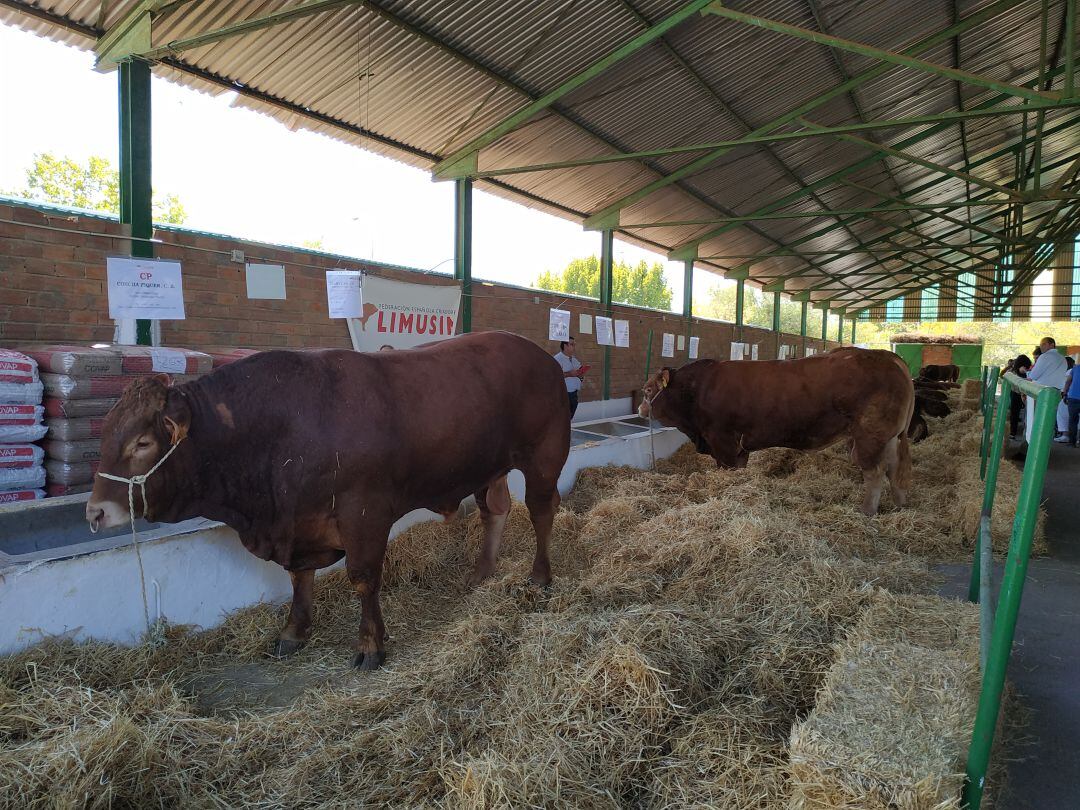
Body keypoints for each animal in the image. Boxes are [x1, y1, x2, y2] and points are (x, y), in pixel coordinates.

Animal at [88, 330, 570, 673]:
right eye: (105, 433)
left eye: (143, 442)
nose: (95, 512)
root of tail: (540, 355)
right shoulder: (297, 522)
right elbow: (299, 579)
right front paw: (292, 632)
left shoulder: (364, 513)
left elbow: (363, 577)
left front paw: (371, 645)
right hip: (491, 466)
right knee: (496, 509)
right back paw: (482, 572)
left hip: (544, 457)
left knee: (542, 513)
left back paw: (540, 576)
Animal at [635, 347, 915, 514]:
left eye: (648, 390)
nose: (640, 408)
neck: (697, 390)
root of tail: (888, 356)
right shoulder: (739, 448)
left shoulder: (723, 442)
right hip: (889, 438)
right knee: (894, 469)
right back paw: (900, 505)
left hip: (870, 437)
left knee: (875, 473)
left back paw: (867, 511)